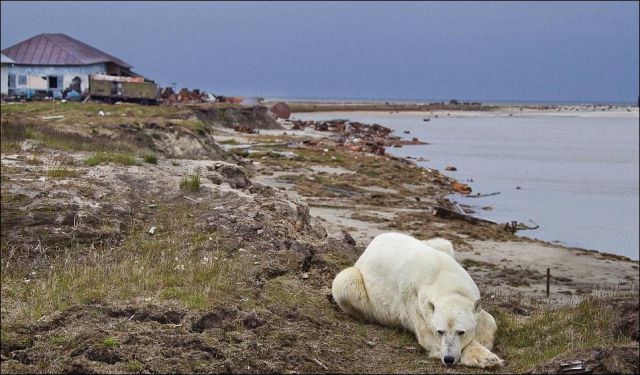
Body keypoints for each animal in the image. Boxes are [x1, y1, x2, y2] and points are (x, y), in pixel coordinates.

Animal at [332, 234, 502, 368]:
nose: (448, 359)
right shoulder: (415, 302)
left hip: (438, 244)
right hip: (356, 282)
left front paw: (485, 341)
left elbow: (489, 320)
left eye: (461, 332)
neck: (442, 274)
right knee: (345, 284)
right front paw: (486, 358)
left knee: (443, 242)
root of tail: (369, 247)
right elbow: (427, 336)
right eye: (440, 331)